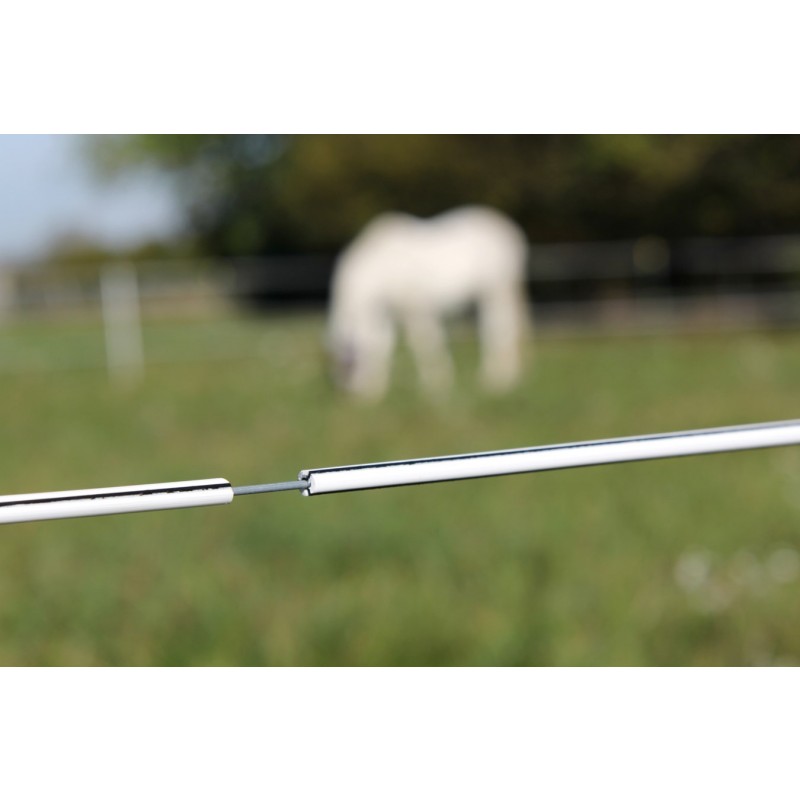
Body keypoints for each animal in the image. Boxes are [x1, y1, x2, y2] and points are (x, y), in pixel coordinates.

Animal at [327, 205, 530, 400]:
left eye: (348, 366)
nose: (352, 395)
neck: (381, 268)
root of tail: (509, 230)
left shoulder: (417, 309)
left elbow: (425, 343)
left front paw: (436, 384)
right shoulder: (387, 314)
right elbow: (382, 344)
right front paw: (377, 390)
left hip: (497, 291)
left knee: (500, 328)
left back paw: (497, 380)